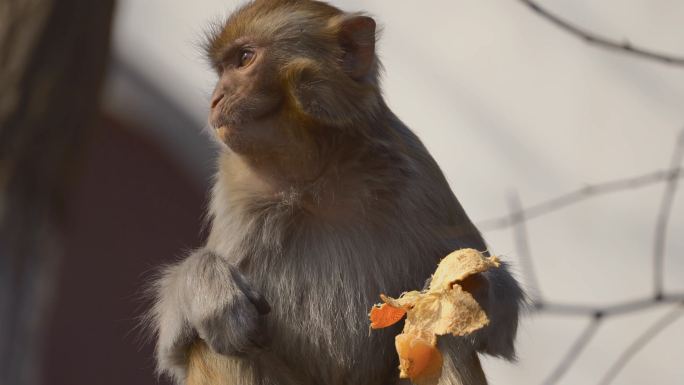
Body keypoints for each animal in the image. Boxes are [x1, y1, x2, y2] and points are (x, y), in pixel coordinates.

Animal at [150, 0, 524, 382]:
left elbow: (497, 325)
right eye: (221, 69)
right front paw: (207, 287)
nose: (215, 98)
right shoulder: (234, 198)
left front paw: (468, 288)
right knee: (216, 343)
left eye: (243, 59)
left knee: (442, 338)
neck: (316, 178)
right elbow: (175, 350)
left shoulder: (417, 171)